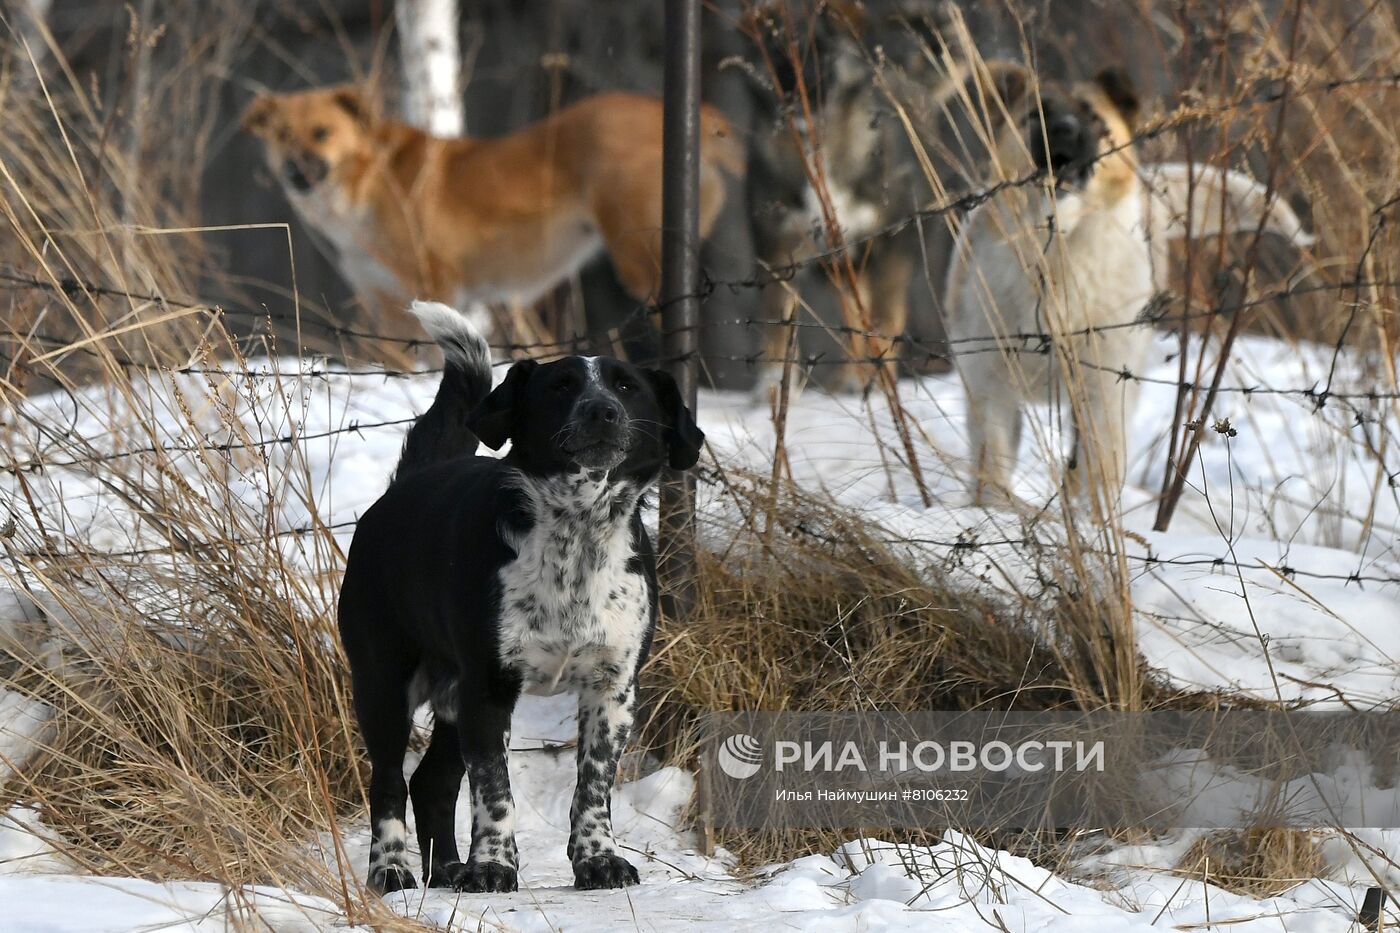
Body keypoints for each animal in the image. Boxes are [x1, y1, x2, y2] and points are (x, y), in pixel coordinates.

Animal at [243, 85, 744, 341]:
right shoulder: (384, 303)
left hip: (640, 256)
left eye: (321, 133)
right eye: (282, 135)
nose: (294, 171)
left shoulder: (435, 285)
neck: (367, 180)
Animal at [337, 301, 705, 890]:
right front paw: (491, 867)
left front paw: (598, 859)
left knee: (432, 782)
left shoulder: (613, 689)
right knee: (389, 782)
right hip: (384, 684)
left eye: (627, 387)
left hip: (450, 697)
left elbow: (593, 787)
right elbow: (495, 792)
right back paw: (391, 869)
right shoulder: (489, 689)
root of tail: (402, 489)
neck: (578, 533)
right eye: (560, 386)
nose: (601, 411)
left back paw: (447, 869)